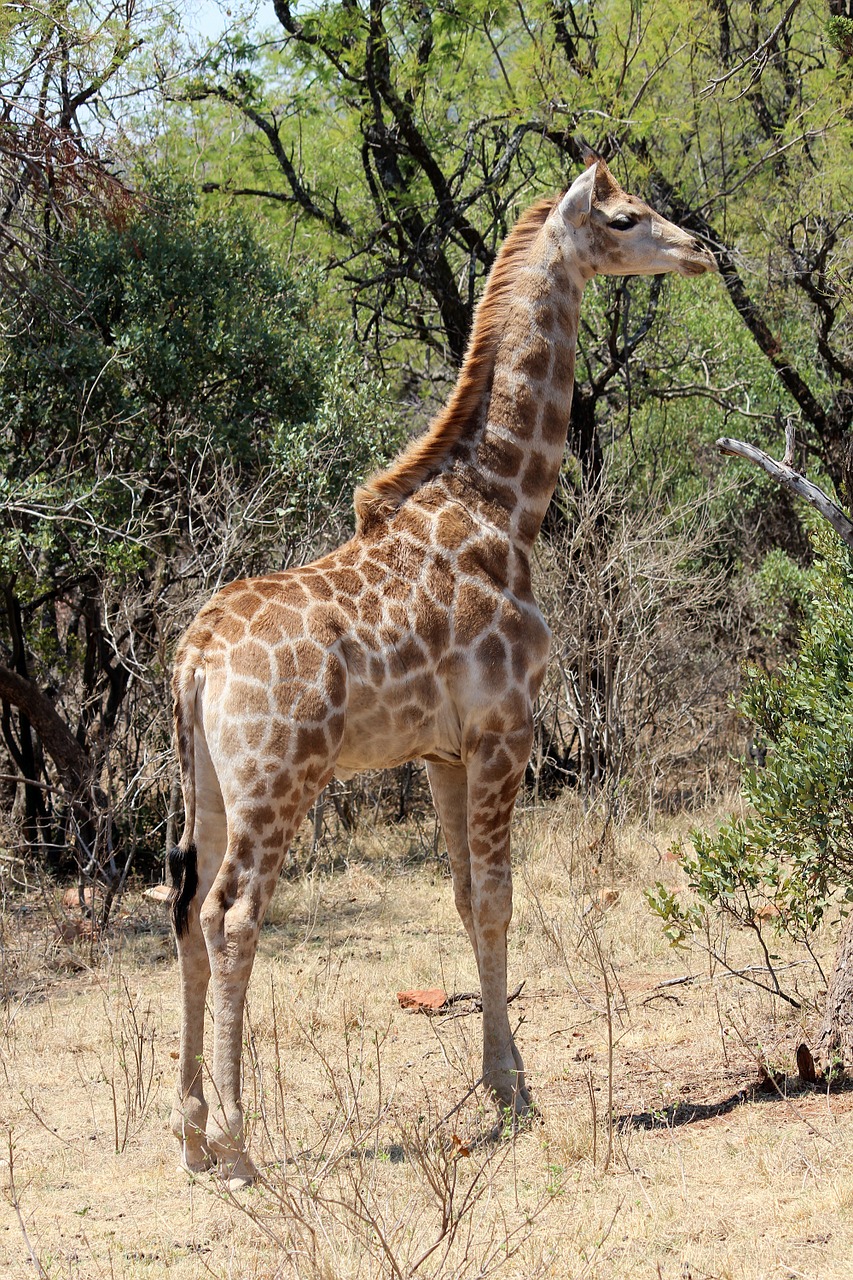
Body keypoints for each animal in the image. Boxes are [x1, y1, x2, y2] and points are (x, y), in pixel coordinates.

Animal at [166, 157, 712, 1187]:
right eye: (626, 217)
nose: (700, 249)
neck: (506, 503)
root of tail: (195, 657)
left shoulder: (442, 753)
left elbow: (462, 898)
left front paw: (504, 1084)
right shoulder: (507, 729)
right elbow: (497, 899)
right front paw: (515, 1094)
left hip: (206, 783)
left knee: (183, 906)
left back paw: (187, 1134)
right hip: (278, 778)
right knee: (232, 914)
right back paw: (238, 1143)